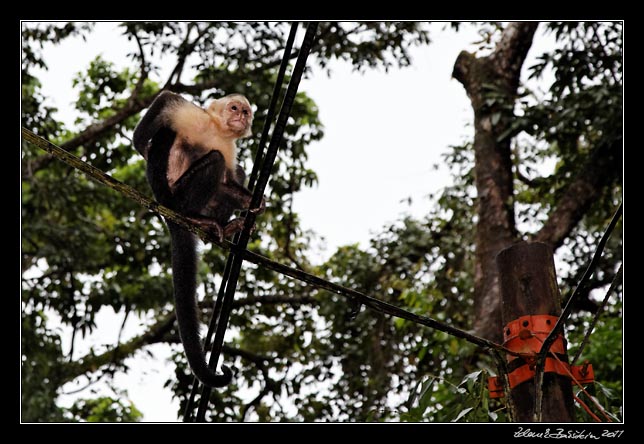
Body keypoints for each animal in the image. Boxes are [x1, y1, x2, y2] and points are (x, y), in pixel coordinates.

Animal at [133, 91, 264, 388]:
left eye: (246, 112)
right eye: (234, 107)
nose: (241, 117)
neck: (217, 130)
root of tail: (170, 215)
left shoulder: (231, 147)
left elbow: (230, 179)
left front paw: (254, 203)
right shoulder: (194, 117)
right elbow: (166, 100)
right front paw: (141, 146)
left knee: (233, 172)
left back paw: (225, 227)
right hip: (176, 196)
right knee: (213, 161)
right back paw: (192, 216)